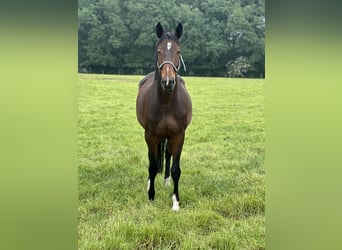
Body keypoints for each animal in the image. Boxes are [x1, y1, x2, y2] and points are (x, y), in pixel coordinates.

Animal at [136, 23, 191, 211]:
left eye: (178, 52)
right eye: (158, 51)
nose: (168, 82)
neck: (167, 104)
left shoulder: (179, 135)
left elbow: (176, 169)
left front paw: (175, 201)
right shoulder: (150, 135)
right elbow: (152, 166)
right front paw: (151, 196)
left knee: (167, 154)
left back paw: (166, 180)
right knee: (151, 158)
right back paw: (149, 184)